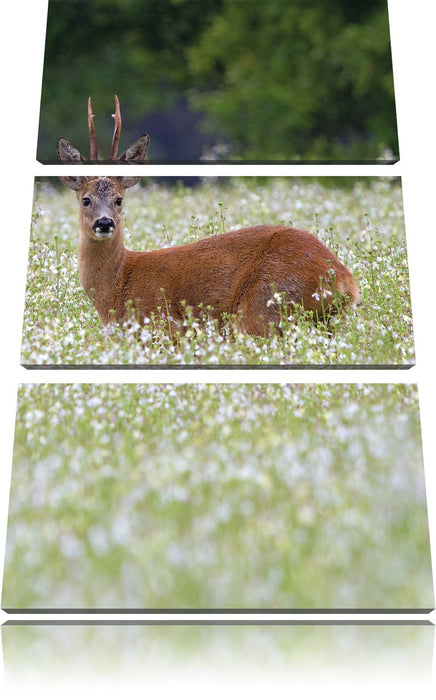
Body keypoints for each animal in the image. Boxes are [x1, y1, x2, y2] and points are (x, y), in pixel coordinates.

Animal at [58, 99, 360, 340]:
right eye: (86, 199)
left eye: (119, 199)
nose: (104, 223)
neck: (119, 285)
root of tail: (345, 280)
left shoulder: (164, 327)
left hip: (264, 306)